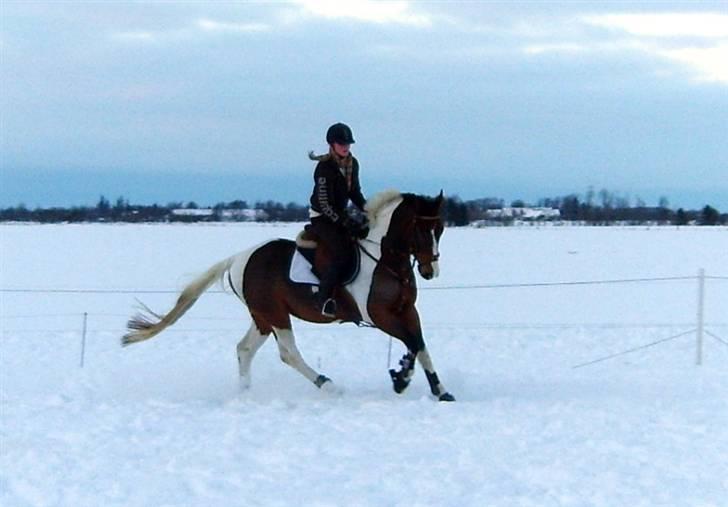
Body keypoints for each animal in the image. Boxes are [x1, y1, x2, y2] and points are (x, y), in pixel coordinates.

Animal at [125, 189, 456, 402]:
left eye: (440, 228)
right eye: (419, 229)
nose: (430, 270)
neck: (385, 259)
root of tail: (239, 258)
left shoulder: (407, 311)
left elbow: (419, 344)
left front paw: (439, 390)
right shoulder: (379, 316)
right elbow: (411, 342)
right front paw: (401, 378)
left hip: (262, 316)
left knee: (244, 349)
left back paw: (245, 394)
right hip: (275, 314)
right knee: (288, 353)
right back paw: (328, 385)